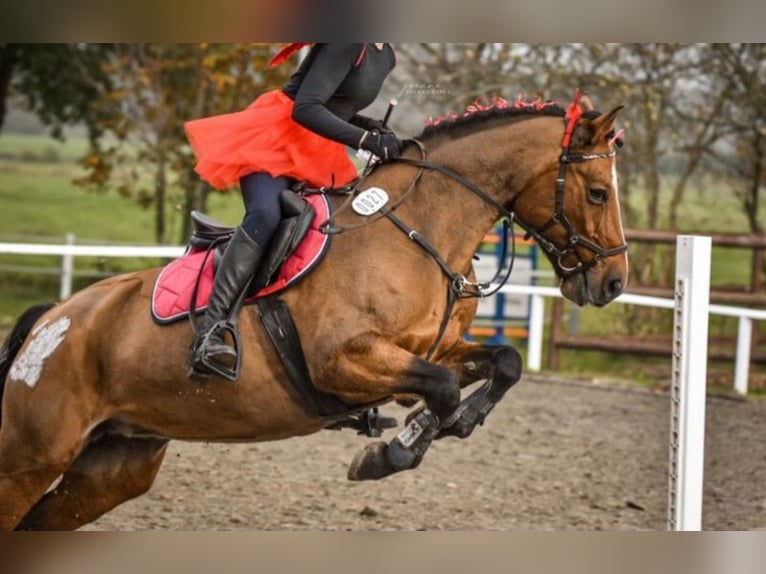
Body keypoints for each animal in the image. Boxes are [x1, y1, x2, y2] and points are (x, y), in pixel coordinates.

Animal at [0, 93, 632, 532]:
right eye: (598, 192)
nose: (613, 283)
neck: (418, 230)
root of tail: (54, 321)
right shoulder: (344, 362)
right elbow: (444, 388)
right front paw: (392, 450)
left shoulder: (430, 349)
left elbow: (501, 364)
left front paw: (441, 427)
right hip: (28, 460)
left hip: (113, 467)